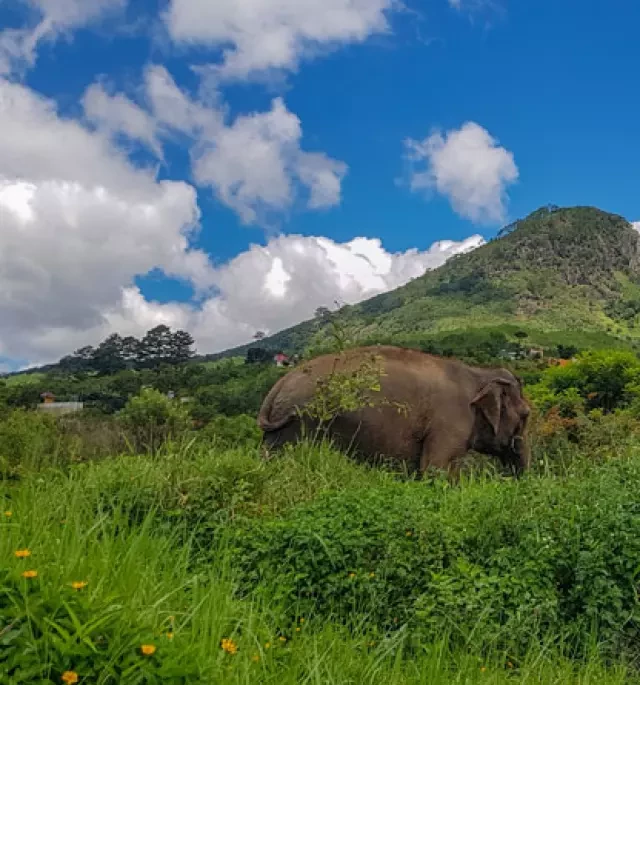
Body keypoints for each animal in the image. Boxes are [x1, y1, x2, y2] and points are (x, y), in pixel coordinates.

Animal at [255, 348, 528, 480]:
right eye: (525, 415)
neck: (479, 372)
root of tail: (280, 384)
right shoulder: (450, 423)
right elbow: (435, 468)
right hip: (297, 424)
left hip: (279, 431)